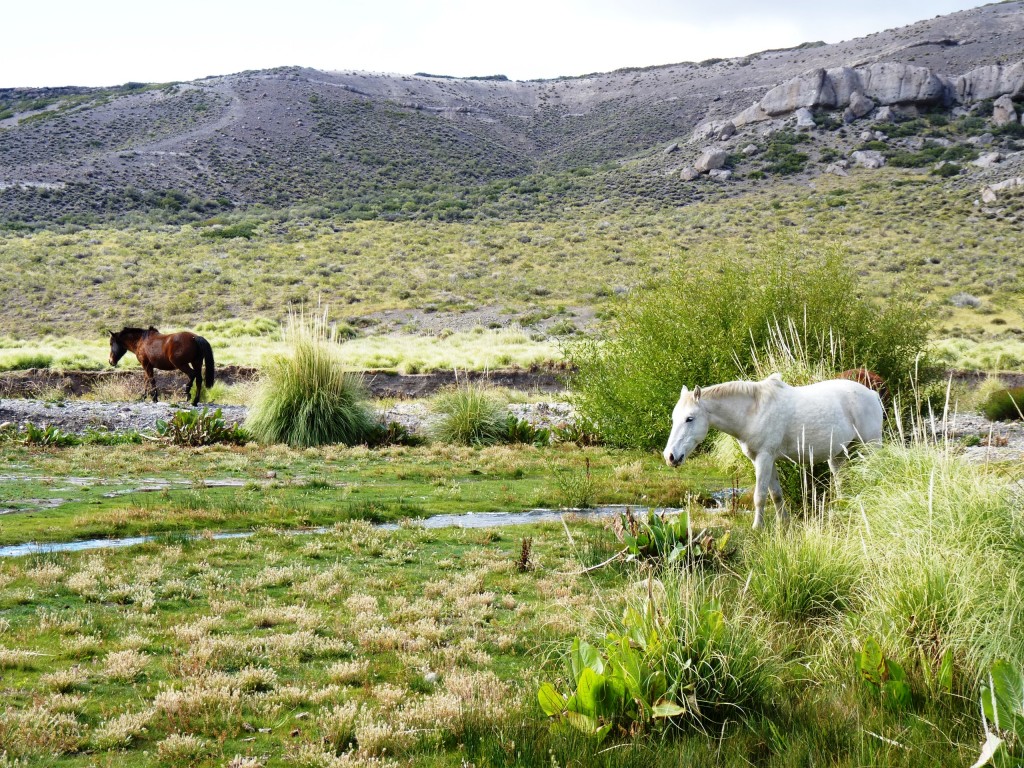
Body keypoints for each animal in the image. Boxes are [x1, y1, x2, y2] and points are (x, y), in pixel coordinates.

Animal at [663, 372, 880, 528]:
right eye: (674, 418)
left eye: (689, 418)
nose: (670, 456)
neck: (753, 411)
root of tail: (873, 394)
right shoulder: (768, 460)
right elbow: (776, 494)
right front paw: (783, 524)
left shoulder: (764, 458)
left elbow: (760, 496)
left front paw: (757, 528)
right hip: (838, 455)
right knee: (841, 482)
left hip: (870, 447)